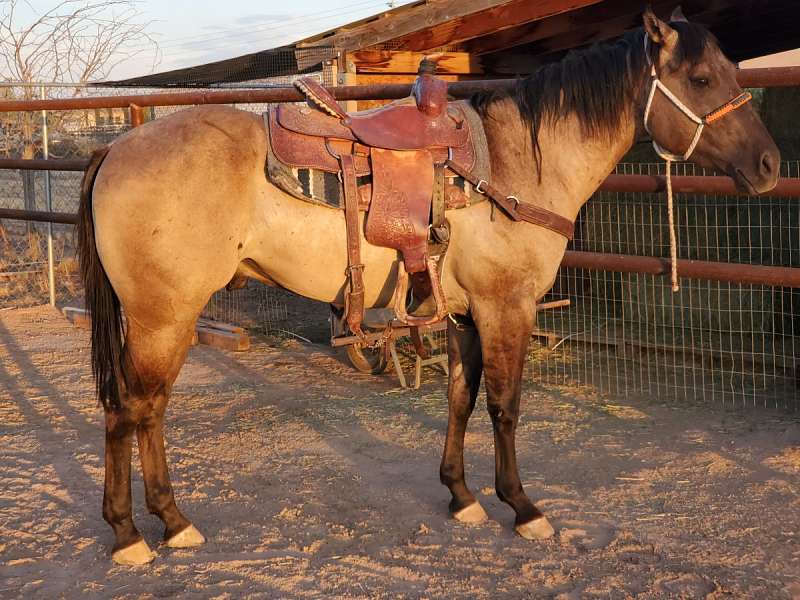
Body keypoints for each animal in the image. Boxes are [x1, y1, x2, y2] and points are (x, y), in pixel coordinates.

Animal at [77, 8, 779, 565]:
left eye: (728, 68)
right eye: (700, 79)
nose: (770, 165)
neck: (518, 167)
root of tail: (115, 150)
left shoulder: (465, 315)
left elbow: (460, 400)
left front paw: (462, 497)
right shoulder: (506, 307)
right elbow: (505, 405)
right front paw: (523, 508)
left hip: (166, 319)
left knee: (147, 411)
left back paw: (170, 523)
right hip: (163, 317)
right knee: (131, 410)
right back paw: (134, 535)